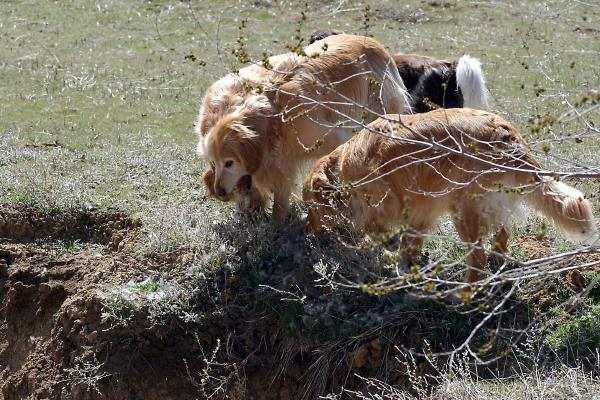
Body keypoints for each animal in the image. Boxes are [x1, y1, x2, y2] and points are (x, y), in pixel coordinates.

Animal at [199, 34, 410, 222]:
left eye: (229, 163)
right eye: (213, 163)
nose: (219, 192)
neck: (274, 117)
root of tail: (376, 44)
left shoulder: (331, 138)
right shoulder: (281, 162)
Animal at [304, 107, 596, 282]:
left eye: (310, 208)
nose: (308, 233)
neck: (341, 167)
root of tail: (507, 137)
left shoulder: (382, 208)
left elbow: (378, 236)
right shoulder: (420, 211)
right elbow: (409, 242)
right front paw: (404, 263)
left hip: (463, 209)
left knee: (476, 257)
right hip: (491, 205)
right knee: (501, 237)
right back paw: (498, 260)